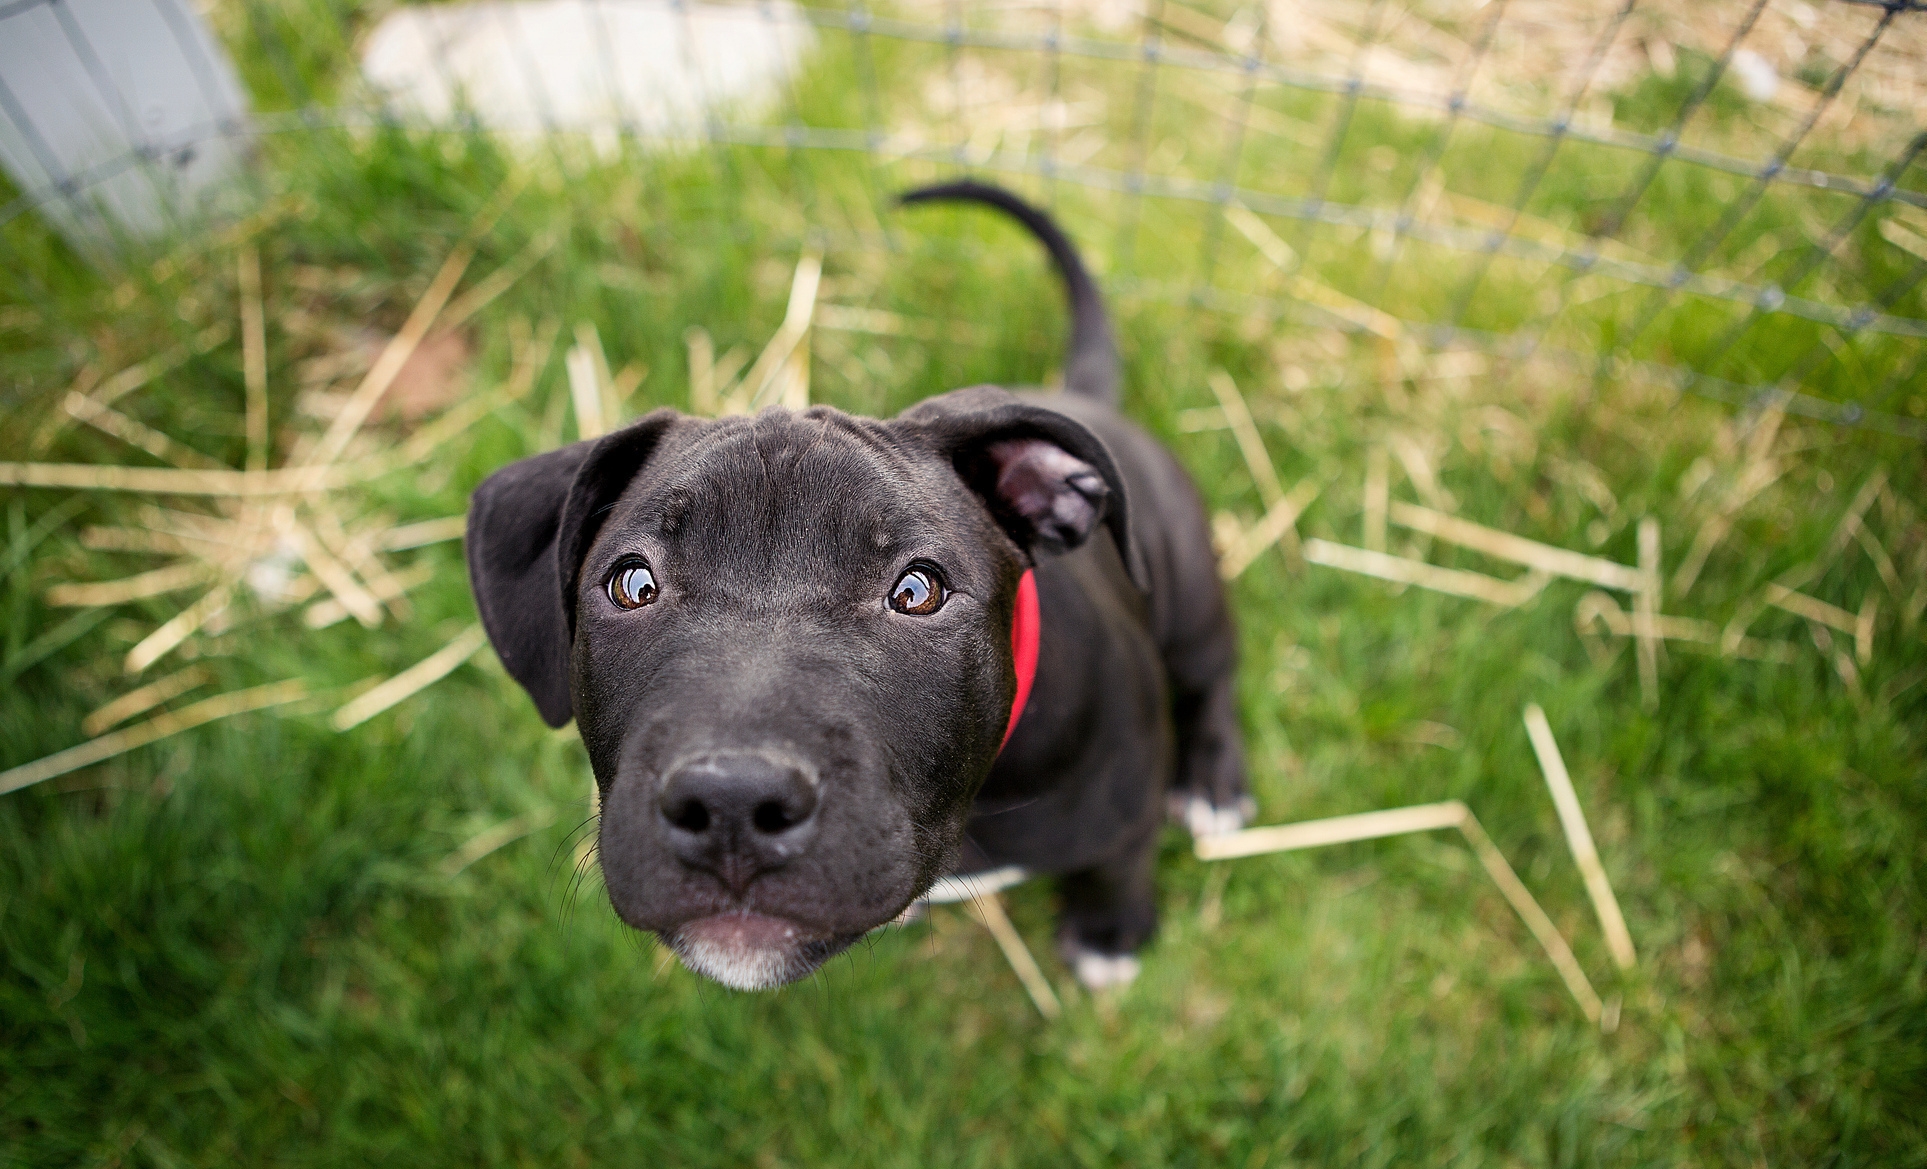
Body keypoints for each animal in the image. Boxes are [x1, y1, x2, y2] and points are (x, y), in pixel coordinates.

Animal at [466, 178, 1248, 993]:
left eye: (916, 592)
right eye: (633, 584)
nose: (731, 801)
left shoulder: (1126, 805)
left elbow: (1119, 863)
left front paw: (1109, 931)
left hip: (1192, 598)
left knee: (1213, 676)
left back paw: (1214, 785)